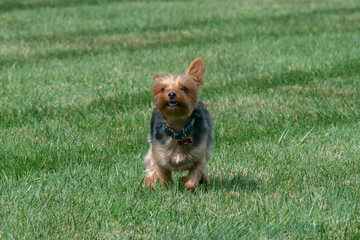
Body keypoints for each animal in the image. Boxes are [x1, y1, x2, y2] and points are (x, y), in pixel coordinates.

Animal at [143, 57, 214, 190]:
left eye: (184, 88)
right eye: (163, 89)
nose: (171, 93)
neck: (177, 127)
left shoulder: (199, 154)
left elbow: (194, 175)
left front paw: (187, 183)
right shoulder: (161, 156)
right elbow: (164, 175)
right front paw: (168, 189)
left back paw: (204, 179)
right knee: (151, 164)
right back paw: (149, 183)